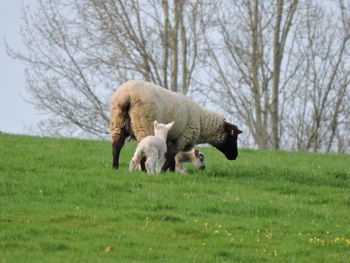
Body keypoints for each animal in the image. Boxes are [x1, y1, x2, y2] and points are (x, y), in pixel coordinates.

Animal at [110, 80, 242, 171]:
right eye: (233, 137)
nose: (235, 156)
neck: (201, 121)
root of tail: (126, 96)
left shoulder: (172, 138)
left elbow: (172, 157)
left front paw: (171, 172)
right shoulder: (182, 138)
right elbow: (171, 155)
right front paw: (164, 171)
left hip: (117, 122)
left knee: (117, 144)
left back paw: (115, 167)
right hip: (144, 124)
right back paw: (143, 170)